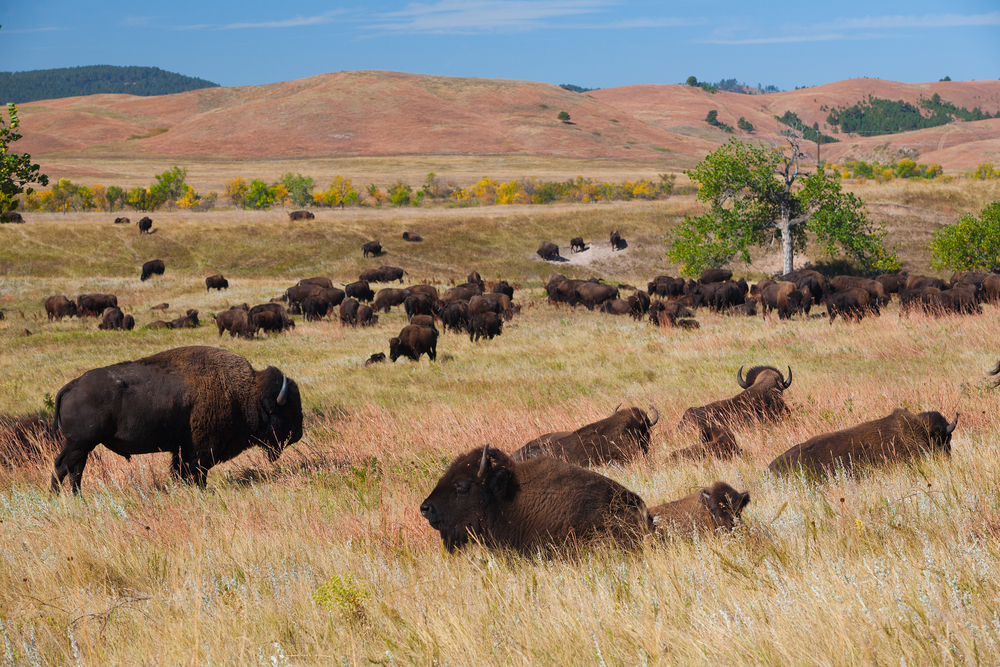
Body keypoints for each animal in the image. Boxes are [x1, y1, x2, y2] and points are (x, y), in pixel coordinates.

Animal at [50, 348, 300, 494]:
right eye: (284, 411)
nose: (298, 434)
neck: (245, 392)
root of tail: (72, 385)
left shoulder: (182, 449)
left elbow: (181, 470)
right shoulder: (201, 450)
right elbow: (196, 472)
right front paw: (200, 491)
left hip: (83, 446)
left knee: (74, 470)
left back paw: (76, 498)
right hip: (79, 443)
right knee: (63, 466)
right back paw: (57, 498)